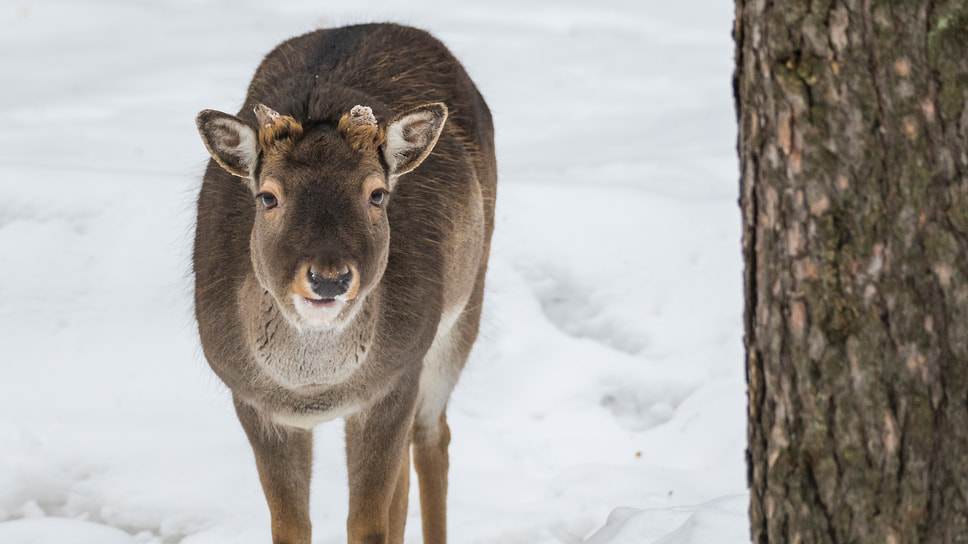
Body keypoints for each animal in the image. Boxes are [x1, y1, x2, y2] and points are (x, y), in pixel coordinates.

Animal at [192, 22, 496, 544]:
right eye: (268, 196)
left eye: (377, 193)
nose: (328, 278)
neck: (314, 388)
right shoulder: (253, 401)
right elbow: (291, 527)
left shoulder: (394, 380)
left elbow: (369, 526)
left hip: (464, 308)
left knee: (431, 438)